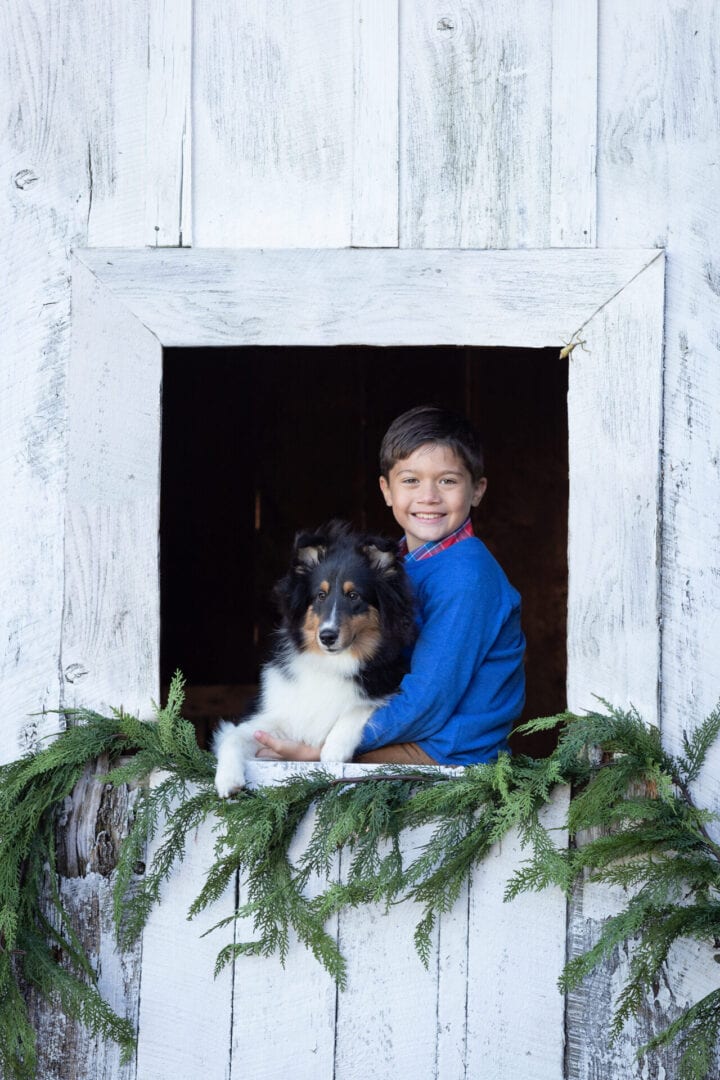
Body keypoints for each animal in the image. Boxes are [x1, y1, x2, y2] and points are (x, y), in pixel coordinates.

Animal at [212, 518, 416, 799]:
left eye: (353, 596)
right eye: (320, 595)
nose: (327, 636)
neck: (332, 663)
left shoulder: (387, 688)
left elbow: (359, 706)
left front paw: (334, 749)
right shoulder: (270, 720)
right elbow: (232, 737)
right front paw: (227, 780)